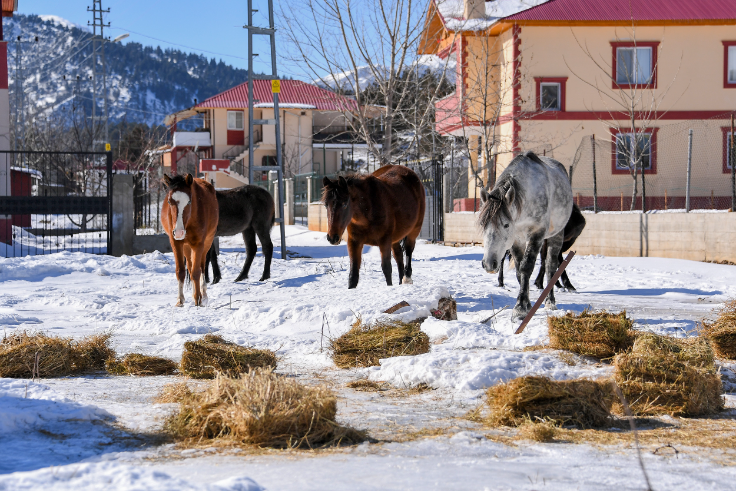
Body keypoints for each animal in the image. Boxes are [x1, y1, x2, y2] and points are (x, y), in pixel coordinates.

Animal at [161, 175, 218, 308]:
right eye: (169, 202)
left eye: (189, 202)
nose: (179, 232)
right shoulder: (176, 243)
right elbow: (181, 271)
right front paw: (180, 300)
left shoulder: (199, 244)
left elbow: (197, 271)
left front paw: (198, 299)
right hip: (186, 247)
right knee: (191, 268)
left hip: (206, 243)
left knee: (201, 267)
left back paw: (203, 294)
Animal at [478, 154, 576, 322]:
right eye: (483, 225)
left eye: (506, 225)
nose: (489, 264)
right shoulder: (516, 240)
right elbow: (519, 272)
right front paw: (527, 304)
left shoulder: (536, 234)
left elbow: (526, 267)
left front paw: (520, 309)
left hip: (556, 235)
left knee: (550, 266)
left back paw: (550, 302)